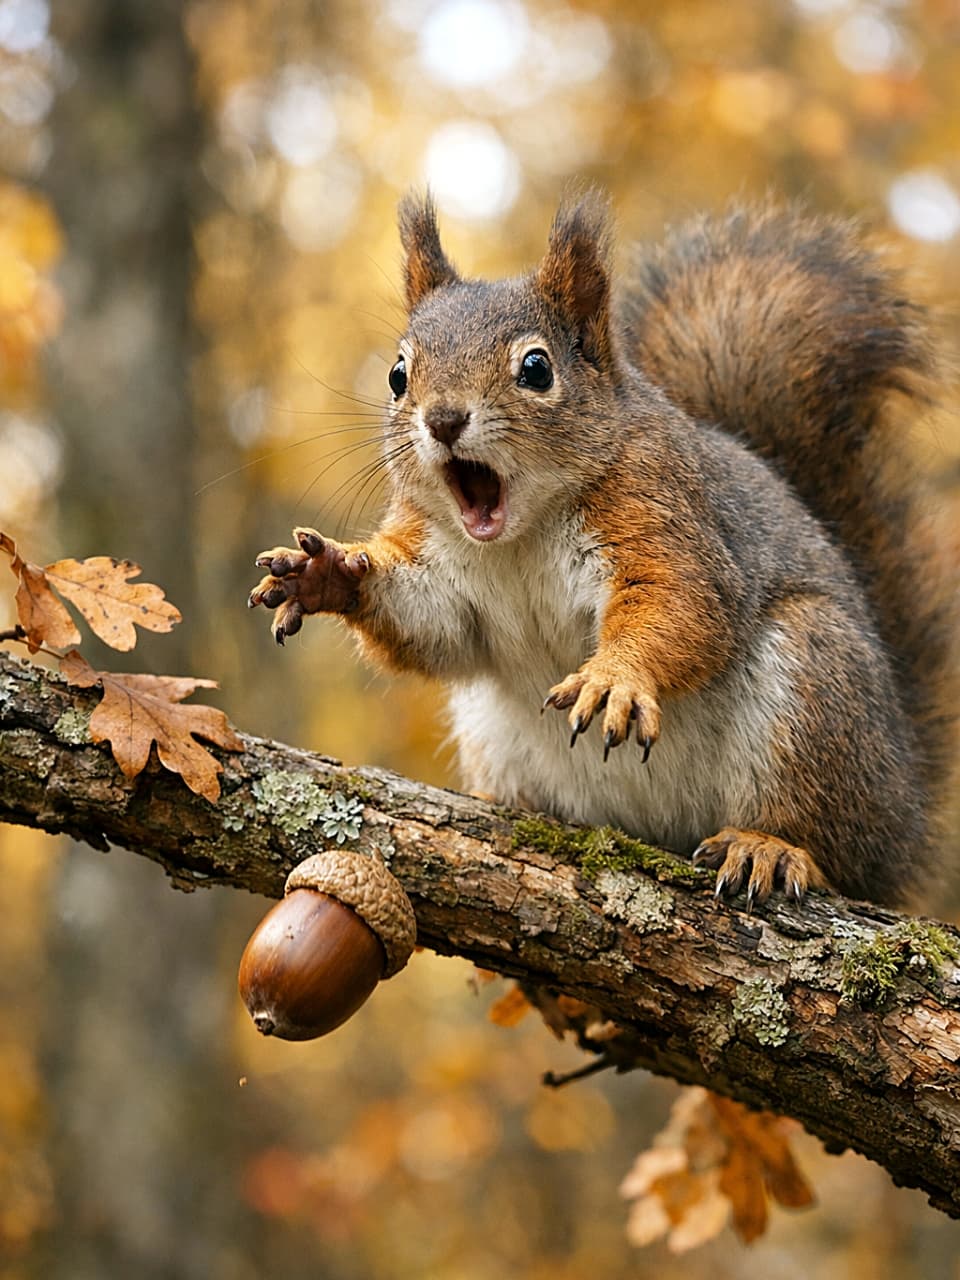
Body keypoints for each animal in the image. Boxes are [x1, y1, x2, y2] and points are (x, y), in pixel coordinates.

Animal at [249, 191, 955, 908]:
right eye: (397, 375)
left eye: (536, 368)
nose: (443, 419)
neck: (520, 535)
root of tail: (905, 807)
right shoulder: (437, 565)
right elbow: (432, 626)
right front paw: (325, 572)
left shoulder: (663, 515)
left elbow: (682, 601)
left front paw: (613, 677)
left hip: (816, 688)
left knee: (829, 840)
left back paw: (771, 846)